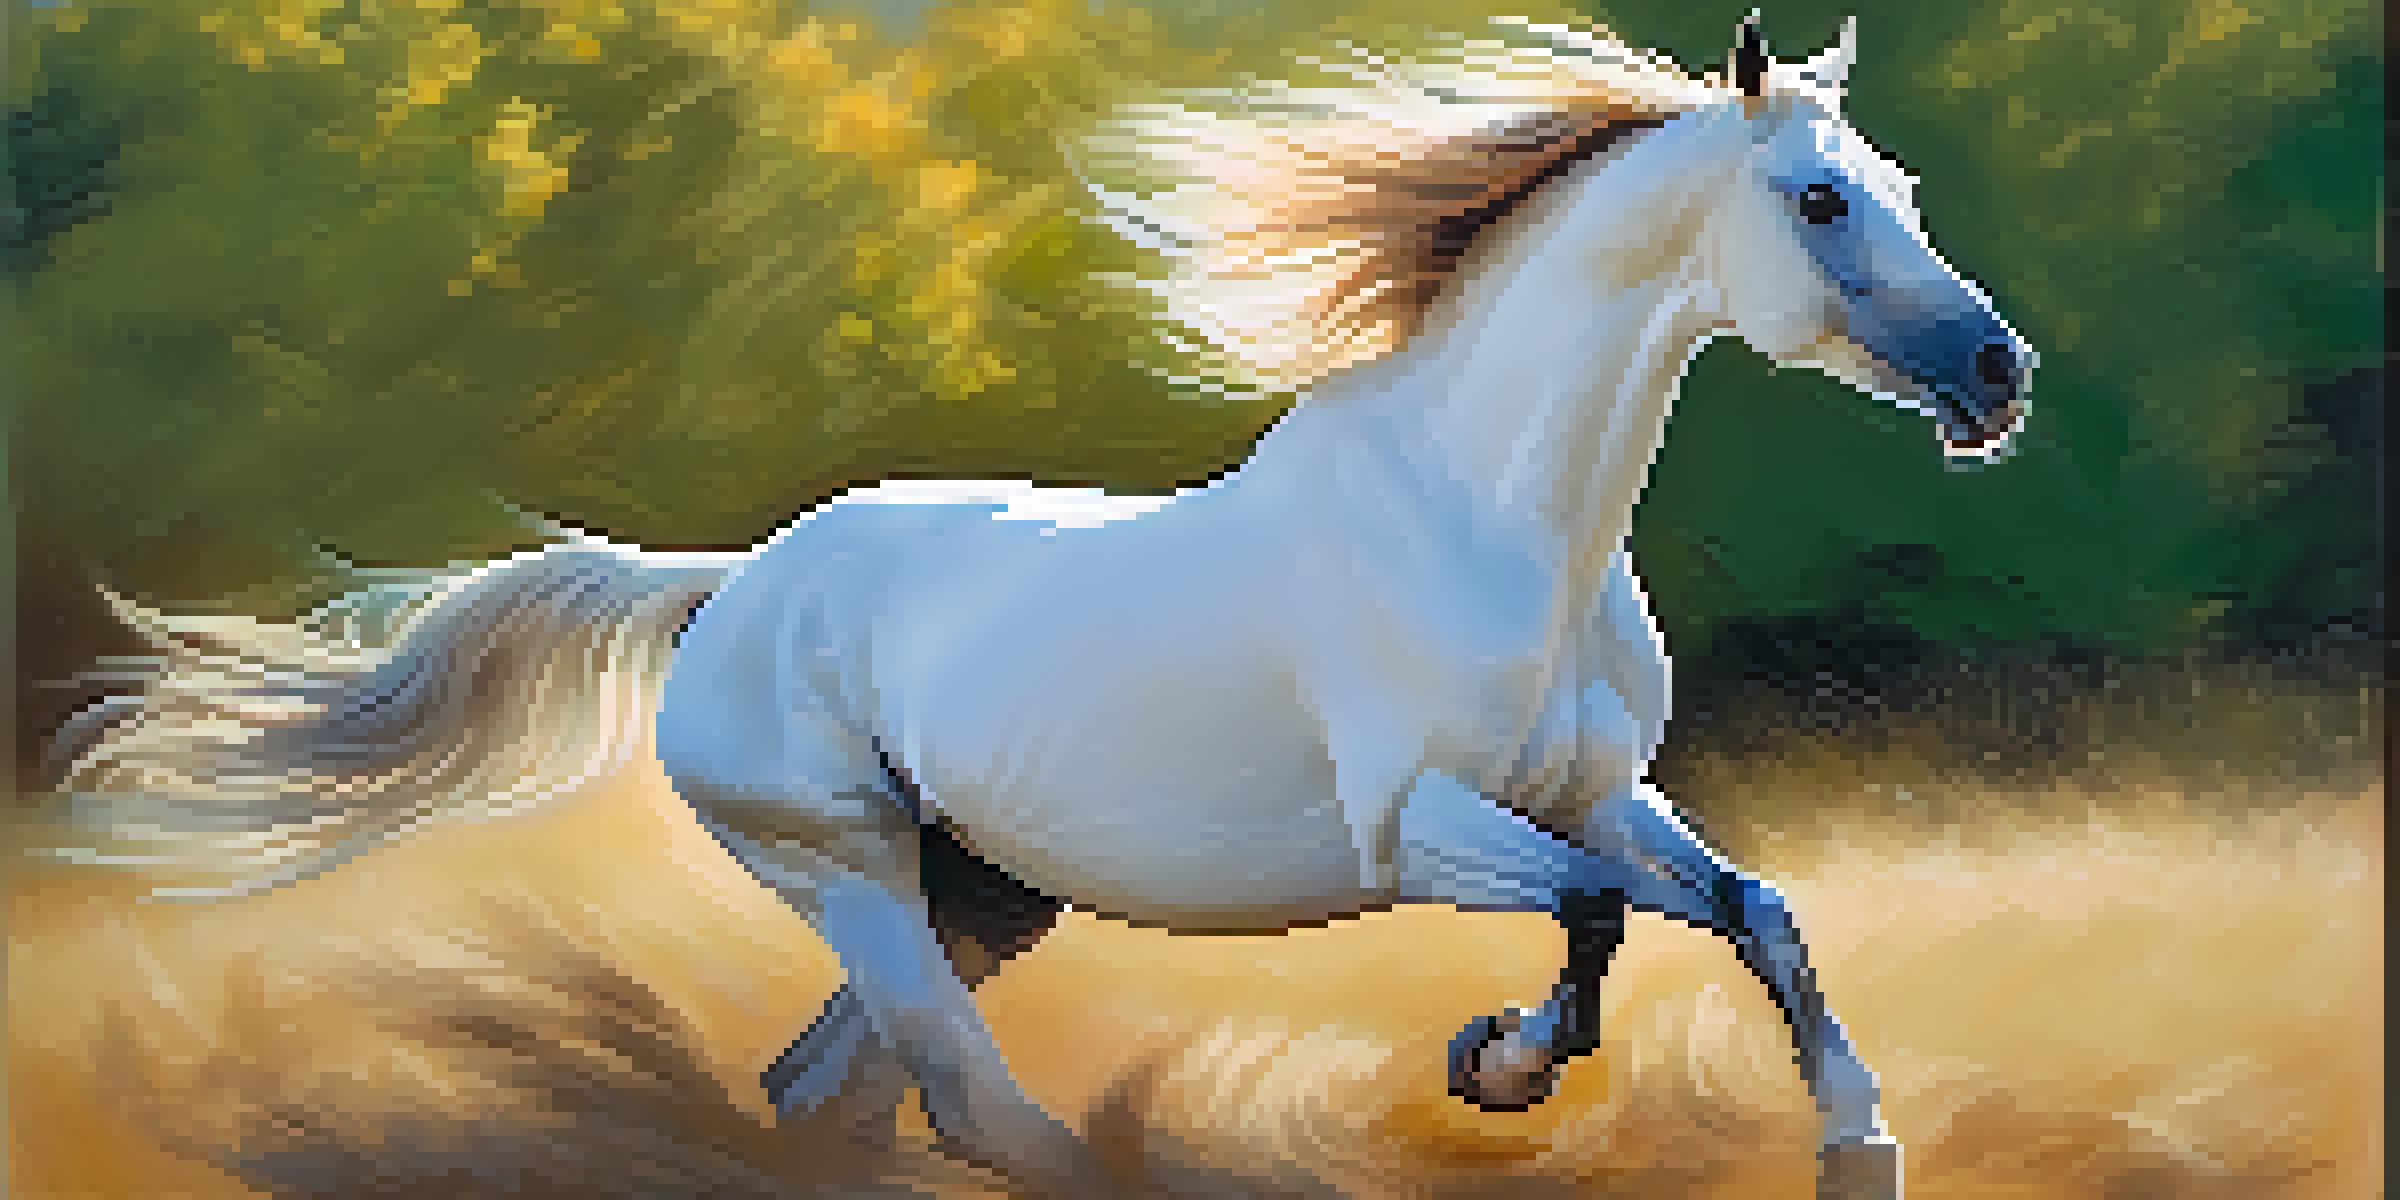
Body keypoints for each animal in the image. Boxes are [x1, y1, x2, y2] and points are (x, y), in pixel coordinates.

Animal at [44, 15, 2029, 1200]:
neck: (1483, 524)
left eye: (1901, 188)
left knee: (834, 1092)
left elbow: (1752, 912)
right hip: (848, 866)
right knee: (964, 1097)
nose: (1998, 375)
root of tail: (731, 586)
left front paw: (1859, 1145)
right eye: (1821, 199)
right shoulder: (1425, 830)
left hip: (978, 893)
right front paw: (1498, 1067)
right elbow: (1600, 927)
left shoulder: (1596, 793)